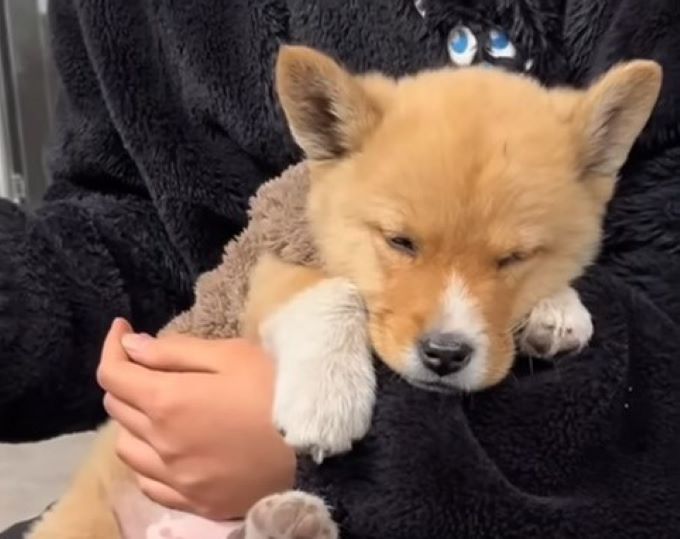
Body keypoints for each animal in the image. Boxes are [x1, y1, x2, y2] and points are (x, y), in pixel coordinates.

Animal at [26, 47, 660, 539]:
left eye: (513, 259)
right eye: (401, 242)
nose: (445, 355)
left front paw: (557, 309)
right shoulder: (268, 273)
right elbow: (334, 293)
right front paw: (328, 398)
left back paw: (289, 521)